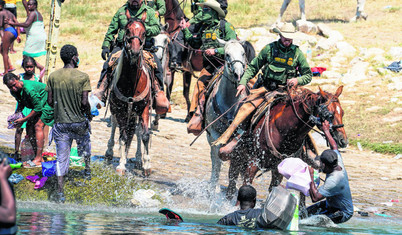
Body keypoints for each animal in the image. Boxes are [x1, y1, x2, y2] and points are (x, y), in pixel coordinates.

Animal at [105, 18, 152, 176]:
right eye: (127, 31)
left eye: (144, 32)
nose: (135, 52)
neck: (132, 83)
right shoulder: (120, 111)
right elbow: (123, 137)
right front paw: (121, 164)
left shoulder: (144, 108)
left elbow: (144, 135)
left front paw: (147, 165)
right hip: (116, 109)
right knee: (114, 126)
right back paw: (109, 152)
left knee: (137, 131)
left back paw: (138, 159)